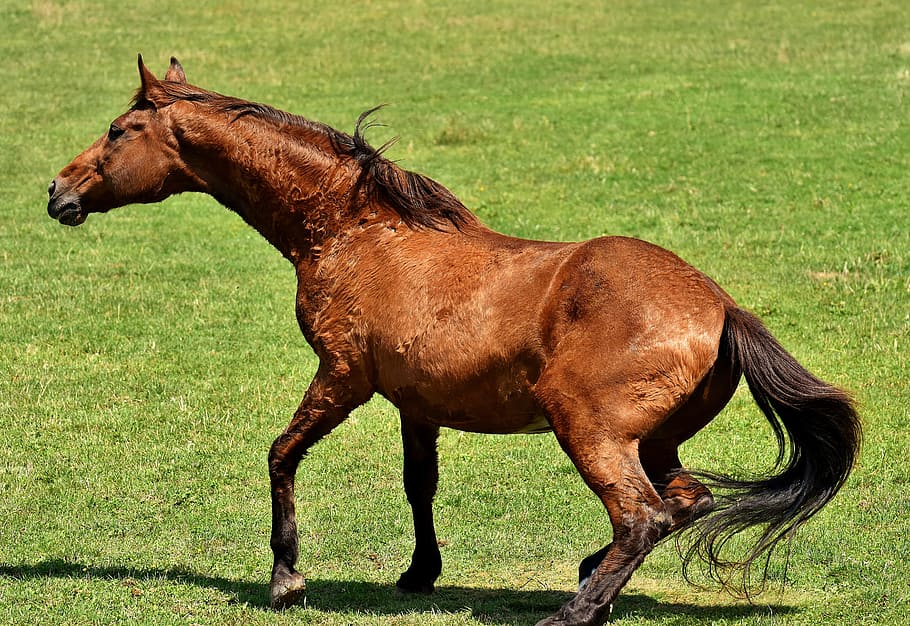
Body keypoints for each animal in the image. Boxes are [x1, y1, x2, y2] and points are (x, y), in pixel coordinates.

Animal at [47, 56, 861, 626]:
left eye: (119, 131)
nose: (57, 192)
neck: (354, 231)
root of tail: (721, 307)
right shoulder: (415, 402)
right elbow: (419, 484)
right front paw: (418, 573)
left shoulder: (342, 376)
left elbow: (281, 454)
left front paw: (286, 580)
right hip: (655, 438)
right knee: (684, 500)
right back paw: (589, 574)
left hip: (590, 430)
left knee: (644, 514)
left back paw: (577, 607)